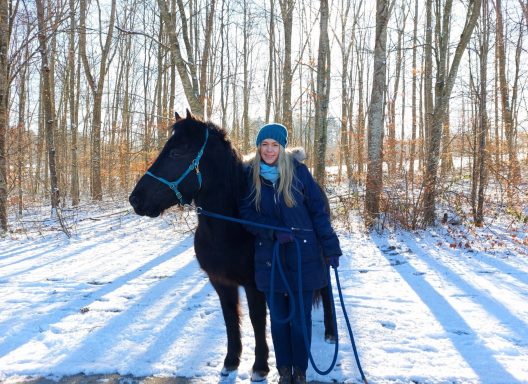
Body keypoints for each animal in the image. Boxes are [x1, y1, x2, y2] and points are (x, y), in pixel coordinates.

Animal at [129, 110, 334, 380]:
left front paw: (260, 366)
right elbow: (230, 318)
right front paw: (230, 361)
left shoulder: (255, 285)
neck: (229, 228)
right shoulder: (220, 282)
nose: (135, 199)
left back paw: (331, 333)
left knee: (327, 290)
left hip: (324, 259)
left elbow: (257, 320)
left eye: (176, 152)